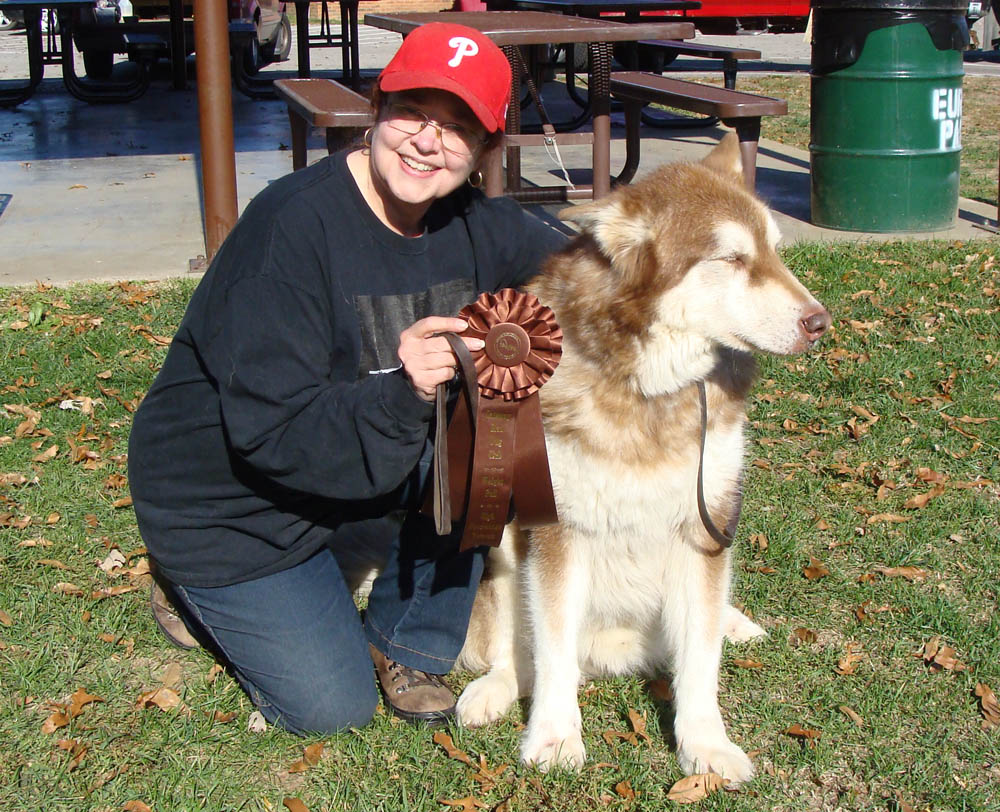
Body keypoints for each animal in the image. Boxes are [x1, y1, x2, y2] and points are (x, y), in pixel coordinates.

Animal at [458, 135, 832, 788]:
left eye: (774, 251)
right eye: (732, 258)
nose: (820, 322)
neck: (652, 392)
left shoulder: (708, 523)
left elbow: (700, 660)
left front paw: (705, 744)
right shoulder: (557, 528)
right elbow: (551, 652)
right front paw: (554, 737)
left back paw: (734, 622)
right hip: (503, 537)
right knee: (517, 650)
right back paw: (495, 687)